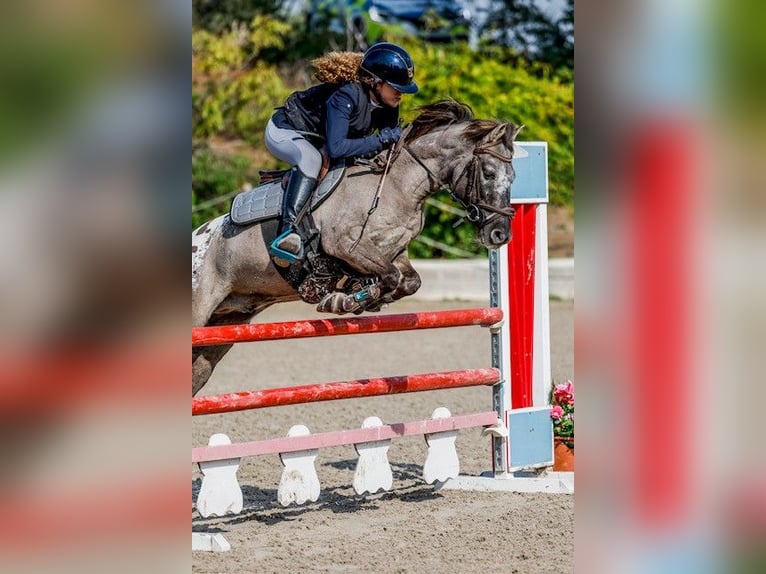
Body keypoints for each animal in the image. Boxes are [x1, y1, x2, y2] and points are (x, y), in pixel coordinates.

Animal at [195, 100, 524, 396]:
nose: (499, 234)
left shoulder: (394, 252)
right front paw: (347, 300)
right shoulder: (345, 246)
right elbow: (390, 277)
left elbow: (409, 280)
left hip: (223, 327)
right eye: (489, 174)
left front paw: (364, 296)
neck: (398, 185)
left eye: (513, 178)